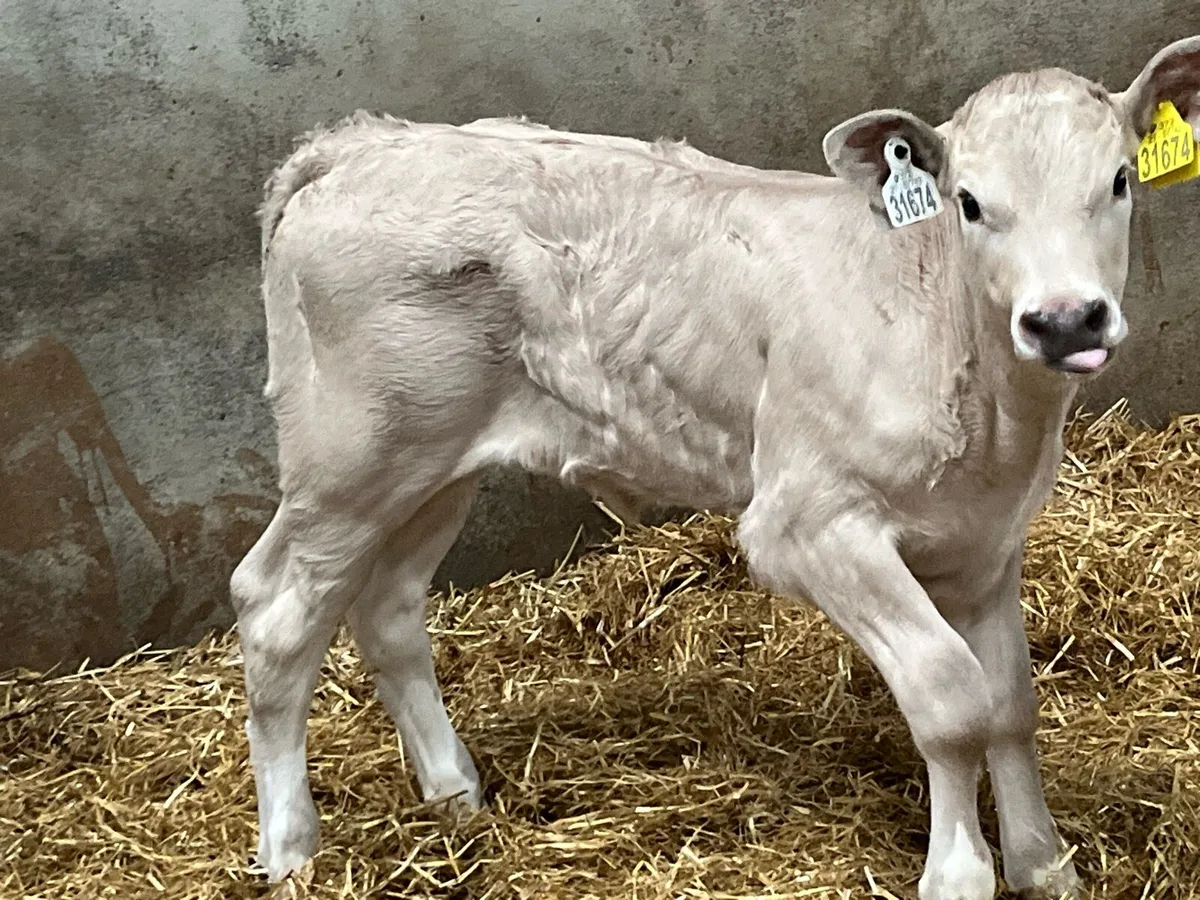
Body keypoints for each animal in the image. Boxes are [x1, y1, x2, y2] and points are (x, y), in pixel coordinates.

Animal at [230, 36, 1200, 900]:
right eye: (967, 201)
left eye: (1118, 181)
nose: (1065, 319)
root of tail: (358, 143)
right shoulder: (806, 523)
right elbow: (953, 698)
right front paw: (959, 875)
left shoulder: (984, 539)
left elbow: (1012, 704)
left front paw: (1043, 863)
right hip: (348, 457)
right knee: (274, 610)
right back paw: (292, 850)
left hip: (433, 463)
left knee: (388, 607)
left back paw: (453, 791)